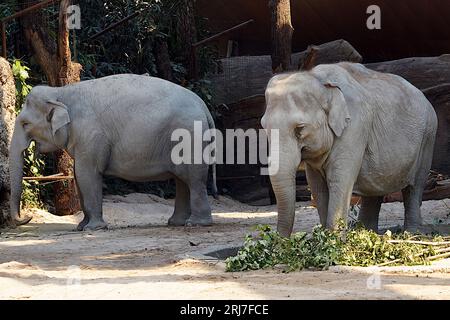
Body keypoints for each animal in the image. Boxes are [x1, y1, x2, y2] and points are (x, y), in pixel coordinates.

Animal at [6, 74, 218, 231]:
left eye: (25, 124)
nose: (27, 217)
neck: (60, 92)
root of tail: (203, 106)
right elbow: (78, 175)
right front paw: (81, 227)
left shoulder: (90, 134)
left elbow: (87, 174)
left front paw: (93, 228)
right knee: (182, 180)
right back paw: (176, 223)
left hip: (190, 137)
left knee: (194, 179)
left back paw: (196, 224)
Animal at [262, 63, 438, 238]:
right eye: (264, 127)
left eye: (300, 128)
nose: (281, 241)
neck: (319, 80)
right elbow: (317, 185)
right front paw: (325, 239)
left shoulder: (354, 127)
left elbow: (339, 179)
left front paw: (334, 241)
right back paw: (367, 232)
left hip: (428, 138)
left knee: (414, 188)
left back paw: (412, 235)